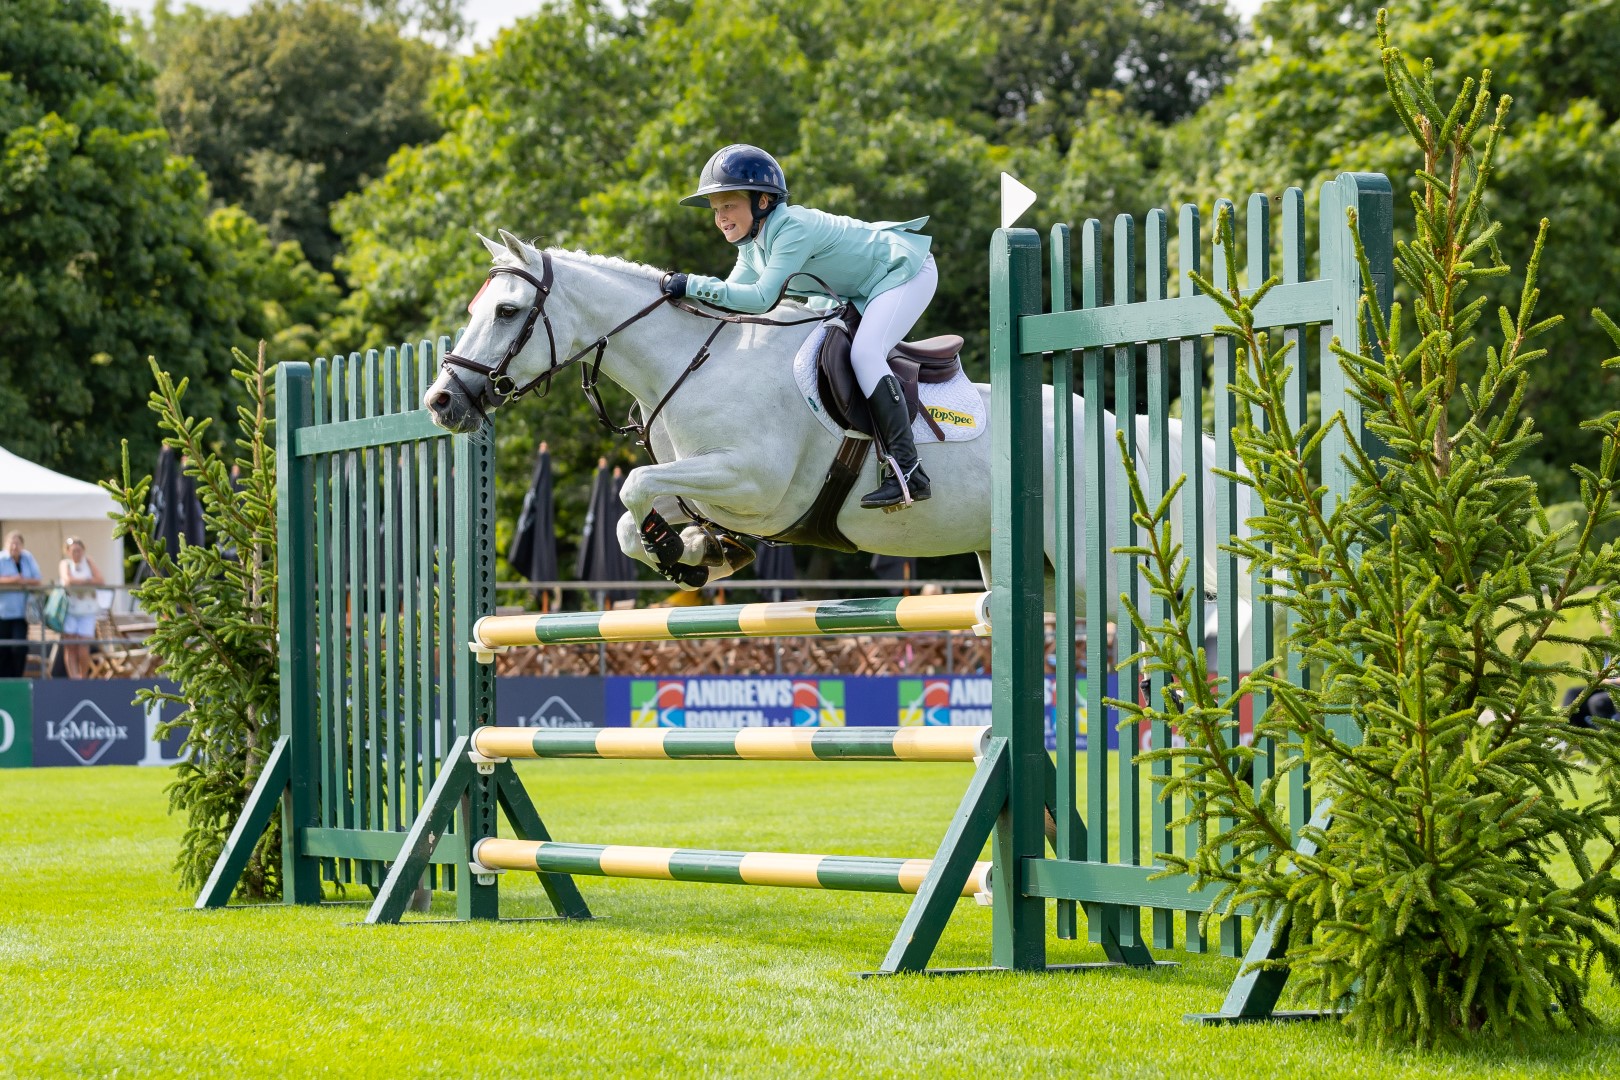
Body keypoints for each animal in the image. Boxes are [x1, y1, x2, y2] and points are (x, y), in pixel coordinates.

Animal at [424, 230, 1249, 636]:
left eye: (505, 312)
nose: (441, 402)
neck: (695, 360)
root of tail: (1124, 430)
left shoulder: (754, 484)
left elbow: (633, 484)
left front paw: (688, 552)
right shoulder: (710, 482)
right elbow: (635, 516)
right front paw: (694, 554)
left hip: (1100, 572)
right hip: (1039, 573)